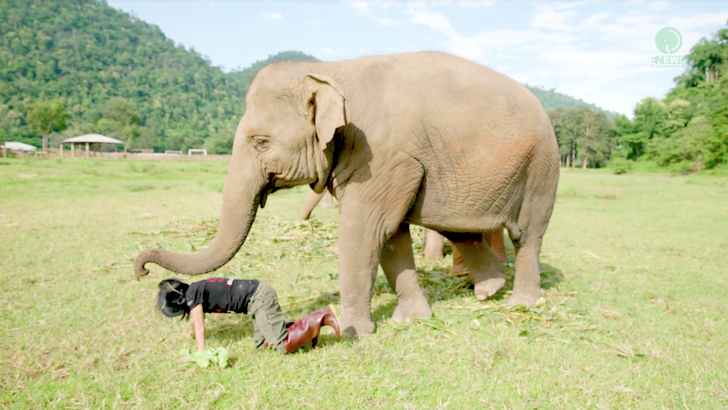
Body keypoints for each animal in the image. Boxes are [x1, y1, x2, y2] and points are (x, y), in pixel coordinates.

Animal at [134, 52, 560, 336]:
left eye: (260, 142)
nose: (143, 271)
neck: (329, 69)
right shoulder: (383, 162)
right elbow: (391, 237)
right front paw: (412, 319)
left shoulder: (381, 156)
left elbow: (365, 231)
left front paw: (350, 330)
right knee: (459, 227)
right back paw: (489, 291)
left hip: (540, 166)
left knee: (527, 234)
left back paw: (520, 302)